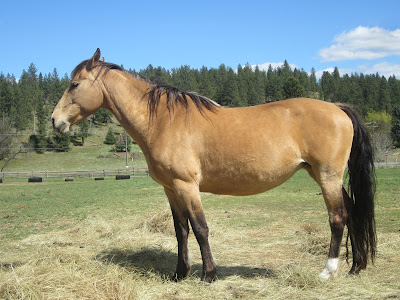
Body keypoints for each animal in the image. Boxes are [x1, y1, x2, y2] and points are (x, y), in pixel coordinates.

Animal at [52, 48, 376, 282]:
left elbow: (200, 228)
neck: (163, 121)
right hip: (325, 176)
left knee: (338, 218)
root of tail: (338, 108)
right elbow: (180, 230)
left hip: (327, 176)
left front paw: (209, 274)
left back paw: (328, 271)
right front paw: (179, 273)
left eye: (75, 84)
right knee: (353, 212)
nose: (56, 121)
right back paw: (356, 267)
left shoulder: (187, 186)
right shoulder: (171, 189)